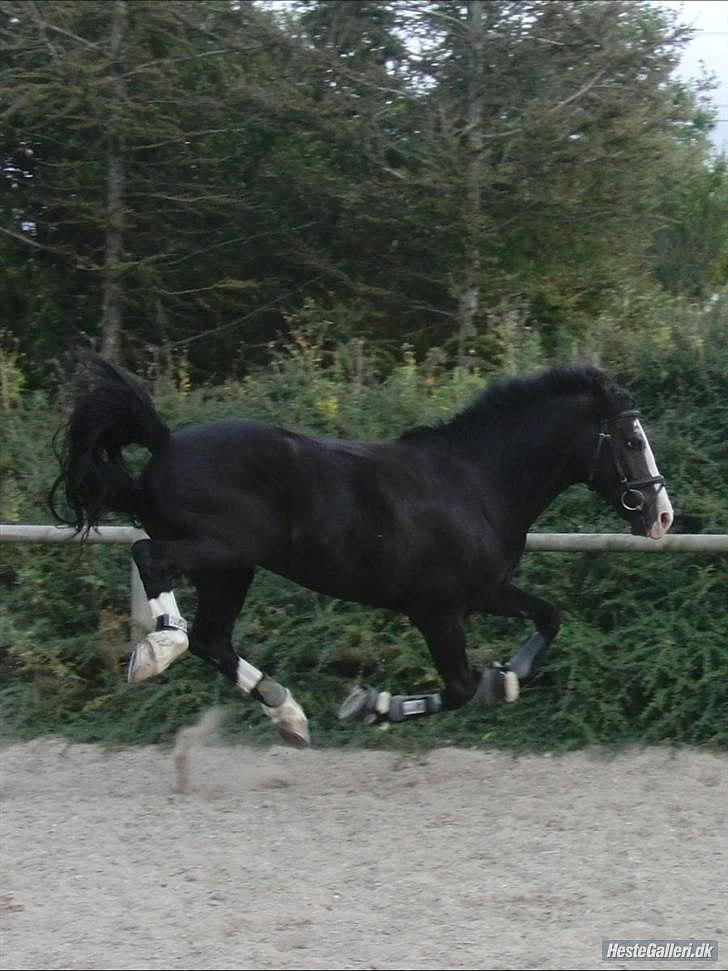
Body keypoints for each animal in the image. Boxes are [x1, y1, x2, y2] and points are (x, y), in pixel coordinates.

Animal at [49, 356, 672, 744]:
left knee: (212, 638)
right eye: (630, 439)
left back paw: (287, 713)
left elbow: (548, 617)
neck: (475, 481)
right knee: (152, 561)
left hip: (233, 568)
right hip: (224, 547)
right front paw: (374, 705)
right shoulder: (437, 609)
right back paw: (157, 652)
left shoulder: (486, 592)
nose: (661, 515)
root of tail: (166, 444)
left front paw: (509, 677)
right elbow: (460, 688)